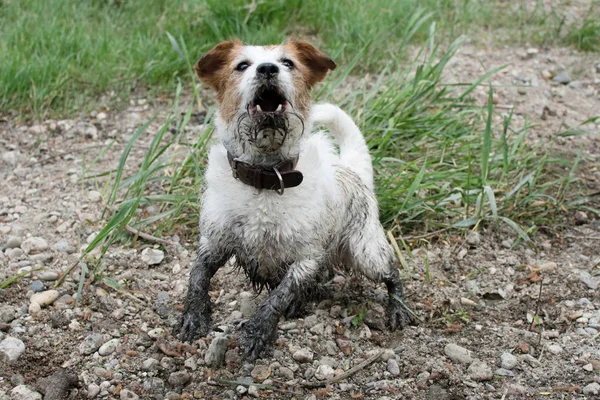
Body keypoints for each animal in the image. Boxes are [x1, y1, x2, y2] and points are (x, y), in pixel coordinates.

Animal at [176, 39, 414, 360]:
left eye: (288, 63)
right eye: (242, 65)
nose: (267, 69)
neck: (265, 178)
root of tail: (351, 169)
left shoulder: (306, 257)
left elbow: (280, 294)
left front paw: (259, 330)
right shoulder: (214, 242)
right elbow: (198, 276)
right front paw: (194, 315)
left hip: (366, 252)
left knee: (391, 272)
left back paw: (397, 307)